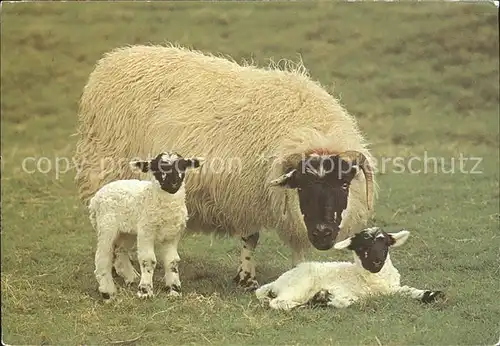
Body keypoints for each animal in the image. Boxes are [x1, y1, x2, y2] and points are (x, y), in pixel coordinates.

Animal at [88, 151, 203, 300]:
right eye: (158, 169)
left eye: (182, 167)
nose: (173, 183)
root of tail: (94, 199)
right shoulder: (146, 231)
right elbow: (148, 260)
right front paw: (145, 291)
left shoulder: (172, 235)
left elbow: (172, 261)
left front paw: (174, 290)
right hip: (106, 226)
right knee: (103, 257)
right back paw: (108, 293)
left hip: (127, 231)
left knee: (120, 251)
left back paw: (131, 278)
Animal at [256, 227, 444, 310]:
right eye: (361, 247)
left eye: (385, 244)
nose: (376, 262)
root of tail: (277, 282)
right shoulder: (342, 289)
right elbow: (350, 301)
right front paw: (326, 299)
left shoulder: (393, 288)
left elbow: (409, 290)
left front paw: (432, 295)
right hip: (299, 286)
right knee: (278, 302)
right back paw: (303, 304)